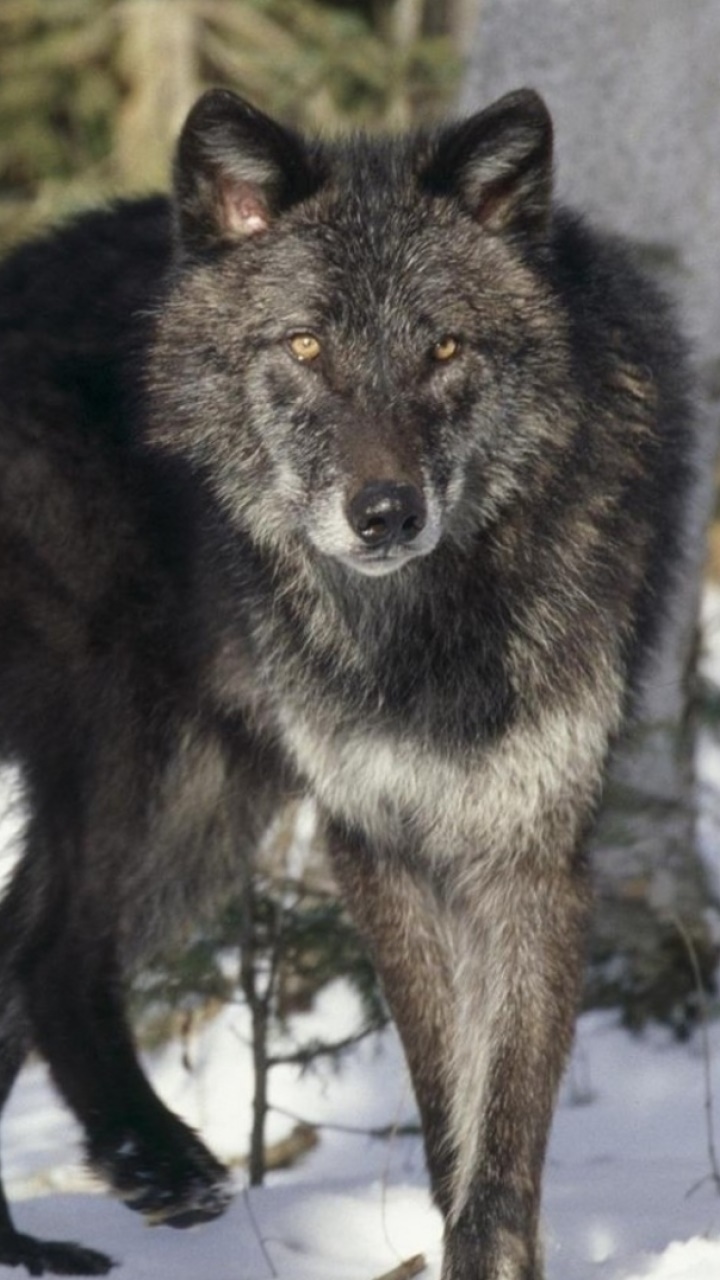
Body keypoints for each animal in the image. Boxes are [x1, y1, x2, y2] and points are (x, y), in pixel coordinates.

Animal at [0, 86, 692, 1278]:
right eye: (306, 343)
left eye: (446, 345)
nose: (385, 513)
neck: (424, 634)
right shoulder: (373, 840)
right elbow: (447, 1102)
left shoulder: (533, 848)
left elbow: (502, 1131)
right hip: (133, 751)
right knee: (49, 951)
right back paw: (155, 1158)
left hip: (204, 812)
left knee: (11, 948)